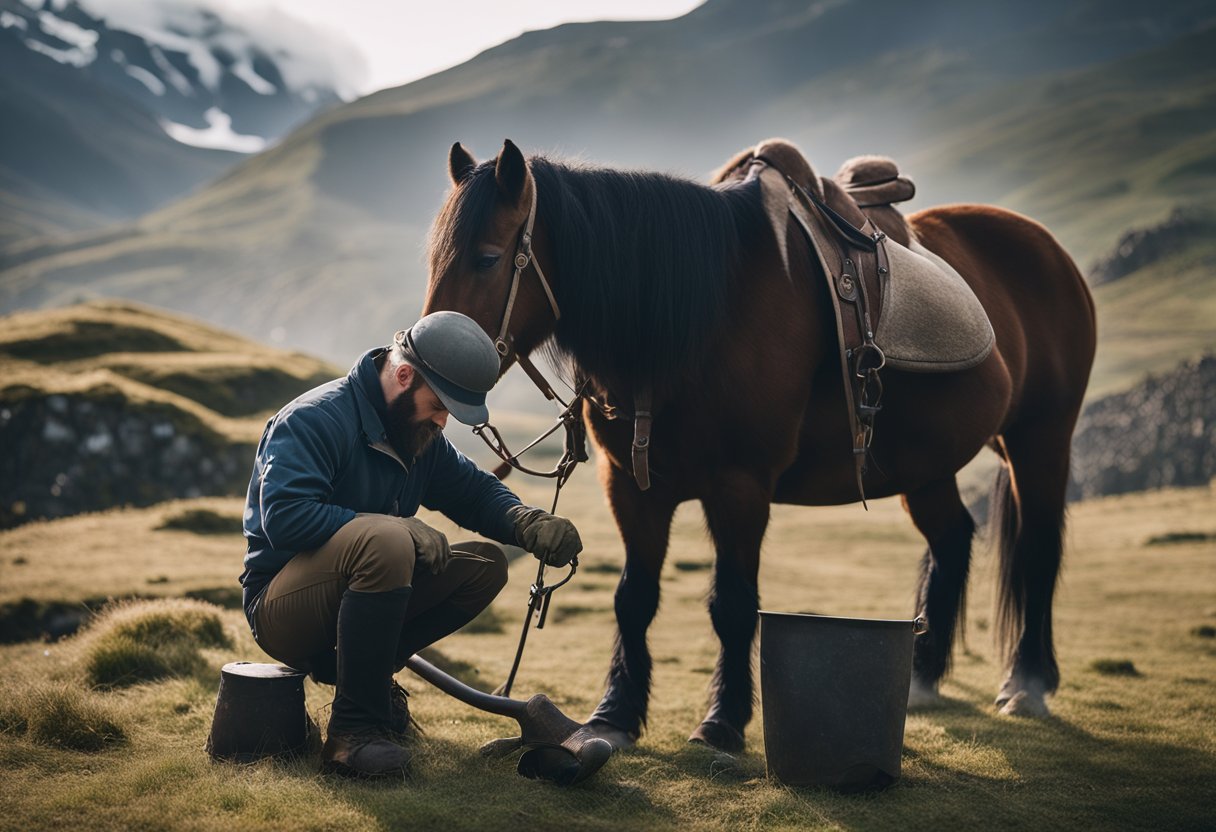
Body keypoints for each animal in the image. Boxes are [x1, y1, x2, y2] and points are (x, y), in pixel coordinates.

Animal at [423, 138, 1099, 754]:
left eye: (487, 258)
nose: (421, 362)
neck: (698, 320)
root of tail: (1048, 251)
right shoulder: (631, 487)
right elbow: (633, 599)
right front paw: (614, 716)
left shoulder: (741, 486)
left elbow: (732, 604)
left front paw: (723, 723)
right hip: (925, 468)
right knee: (953, 541)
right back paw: (923, 677)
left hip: (1040, 441)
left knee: (1037, 551)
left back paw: (1027, 684)